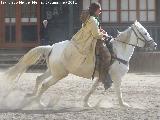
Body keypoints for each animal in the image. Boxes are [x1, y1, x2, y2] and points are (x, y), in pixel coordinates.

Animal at [3, 21, 156, 108]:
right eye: (144, 32)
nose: (154, 45)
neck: (119, 51)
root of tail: (51, 48)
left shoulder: (102, 76)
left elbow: (93, 89)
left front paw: (87, 102)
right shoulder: (116, 77)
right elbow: (119, 91)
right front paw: (123, 104)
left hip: (53, 71)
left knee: (39, 78)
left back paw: (31, 95)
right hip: (59, 74)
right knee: (45, 84)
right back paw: (39, 102)